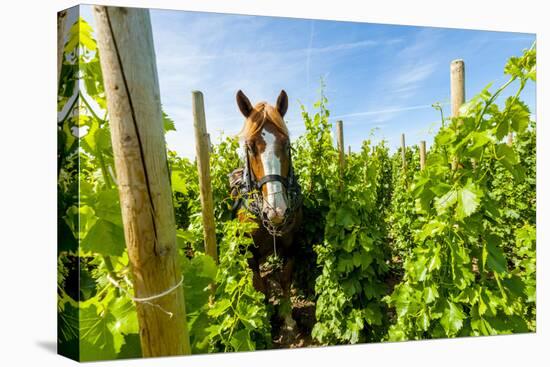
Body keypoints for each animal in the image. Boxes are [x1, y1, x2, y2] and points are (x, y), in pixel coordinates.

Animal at [230, 90, 304, 332]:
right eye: (250, 146)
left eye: (287, 144)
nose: (276, 211)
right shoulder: (250, 254)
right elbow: (260, 286)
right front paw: (265, 321)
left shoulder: (290, 247)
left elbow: (285, 280)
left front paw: (288, 318)